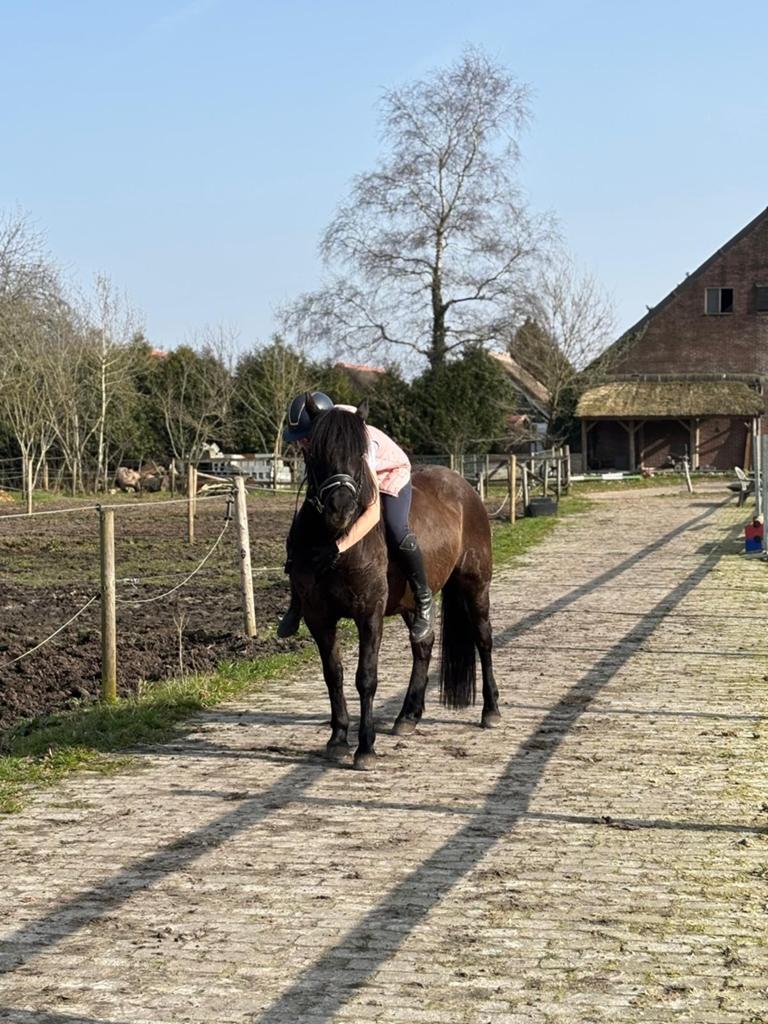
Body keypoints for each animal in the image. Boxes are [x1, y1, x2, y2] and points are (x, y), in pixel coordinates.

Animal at [289, 395, 500, 770]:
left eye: (361, 454)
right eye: (315, 452)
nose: (340, 508)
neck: (337, 544)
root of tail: (464, 487)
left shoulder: (369, 614)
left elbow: (366, 677)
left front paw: (365, 748)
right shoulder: (318, 617)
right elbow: (333, 674)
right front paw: (338, 739)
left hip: (475, 586)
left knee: (483, 640)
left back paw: (491, 710)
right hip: (410, 603)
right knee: (424, 645)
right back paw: (408, 716)